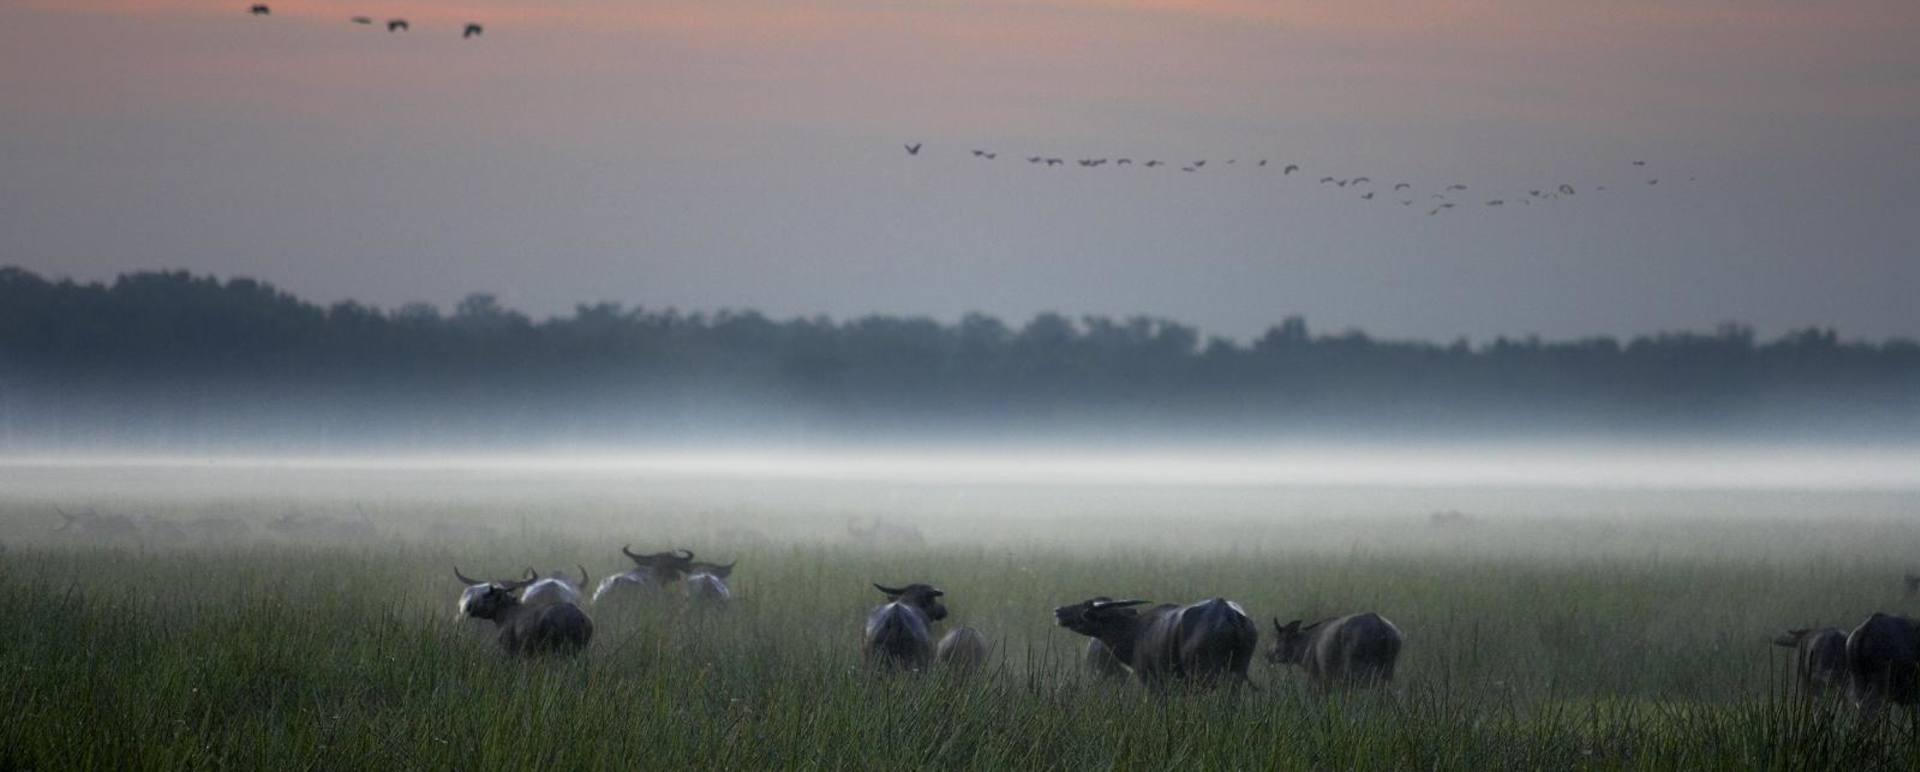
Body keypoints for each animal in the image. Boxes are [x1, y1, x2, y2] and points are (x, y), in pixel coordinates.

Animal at [1053, 596, 1257, 689]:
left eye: (1086, 606)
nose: (1058, 610)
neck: (1135, 632)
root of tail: (1229, 614)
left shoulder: (1151, 682)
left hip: (1205, 674)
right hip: (1238, 672)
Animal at [1268, 613, 1404, 689]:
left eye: (1279, 638)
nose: (1268, 654)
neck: (1306, 644)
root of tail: (1380, 625)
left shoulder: (1317, 677)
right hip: (1386, 672)